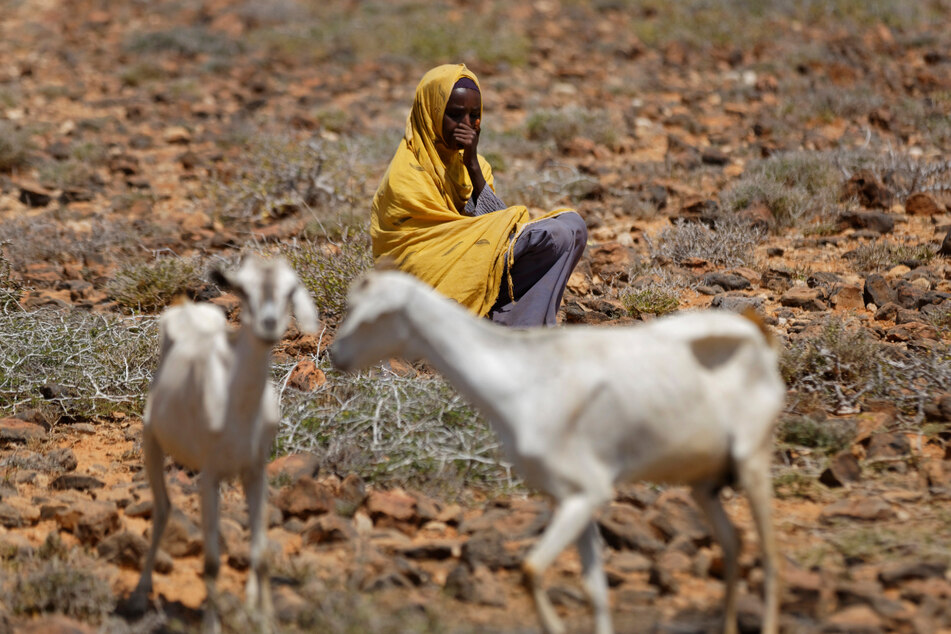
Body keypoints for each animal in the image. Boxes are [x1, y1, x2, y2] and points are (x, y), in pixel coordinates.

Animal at [126, 256, 322, 632]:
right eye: (242, 290)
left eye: (290, 289)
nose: (268, 324)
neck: (238, 408)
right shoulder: (210, 476)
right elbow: (212, 562)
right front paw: (212, 625)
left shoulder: (256, 471)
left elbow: (261, 556)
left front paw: (264, 621)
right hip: (152, 443)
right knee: (163, 509)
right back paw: (140, 595)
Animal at [330, 270, 784, 632]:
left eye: (373, 315)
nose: (336, 354)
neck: (524, 378)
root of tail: (757, 339)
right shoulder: (567, 498)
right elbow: (593, 588)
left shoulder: (587, 494)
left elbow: (531, 570)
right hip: (704, 484)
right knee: (733, 542)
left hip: (753, 462)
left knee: (767, 552)